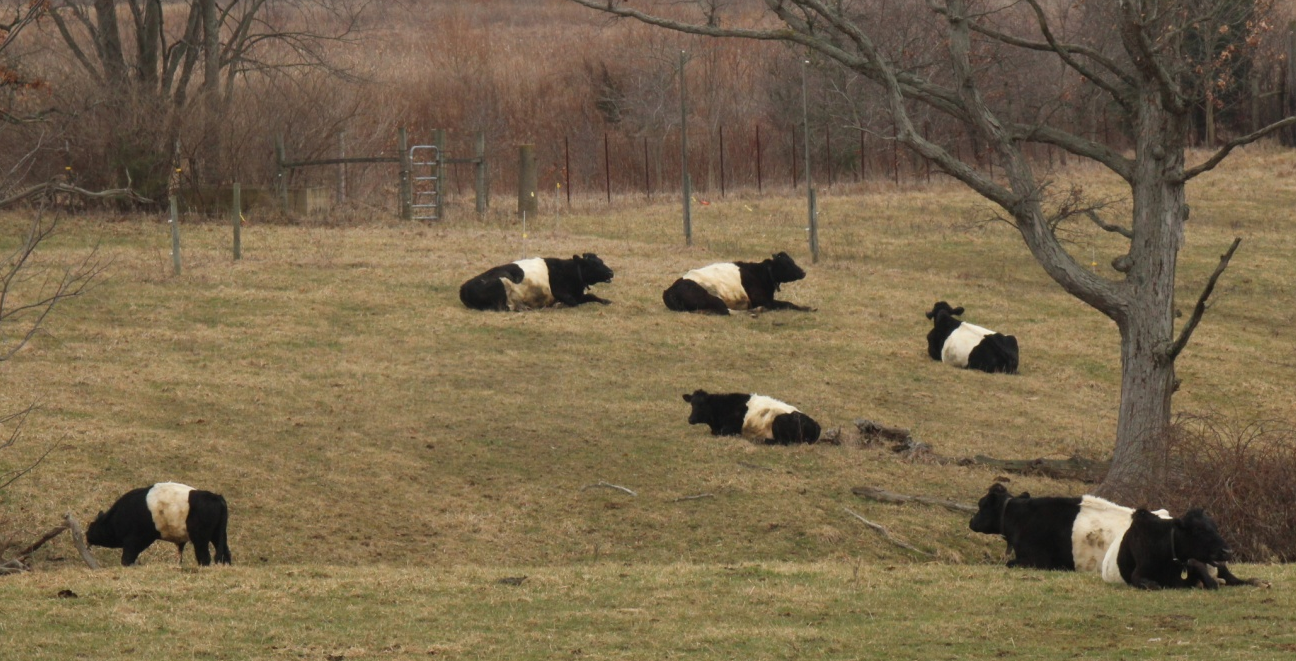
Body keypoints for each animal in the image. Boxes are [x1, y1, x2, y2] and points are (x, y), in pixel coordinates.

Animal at [85, 482, 232, 567]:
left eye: (93, 526)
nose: (87, 535)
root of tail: (217, 497)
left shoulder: (134, 540)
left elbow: (127, 558)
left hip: (200, 538)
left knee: (204, 557)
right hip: (217, 535)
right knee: (226, 553)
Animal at [459, 253, 614, 311]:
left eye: (601, 261)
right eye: (595, 264)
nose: (611, 272)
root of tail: (463, 287)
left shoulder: (577, 294)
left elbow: (591, 296)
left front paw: (606, 301)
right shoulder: (561, 292)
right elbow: (573, 302)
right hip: (501, 283)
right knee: (501, 307)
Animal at [662, 252, 812, 315]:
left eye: (792, 260)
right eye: (786, 263)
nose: (803, 272)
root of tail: (669, 291)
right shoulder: (762, 300)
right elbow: (787, 303)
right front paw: (807, 308)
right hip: (712, 297)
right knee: (725, 311)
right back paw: (756, 311)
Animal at [682, 389, 820, 444]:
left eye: (702, 405)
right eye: (692, 404)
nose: (690, 419)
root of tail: (816, 424)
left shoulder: (729, 429)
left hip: (778, 423)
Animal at [1102, 508, 1262, 589]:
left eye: (1216, 528)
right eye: (1197, 530)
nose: (1227, 551)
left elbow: (1210, 582)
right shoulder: (1138, 573)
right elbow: (1145, 582)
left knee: (1233, 579)